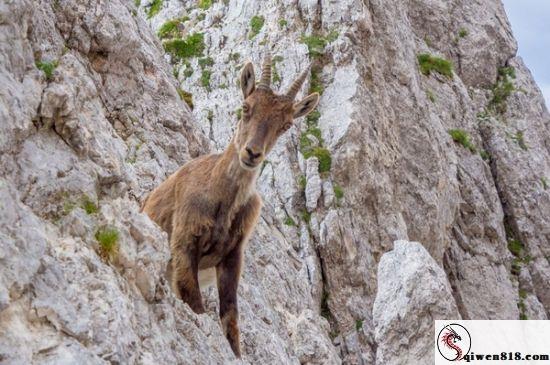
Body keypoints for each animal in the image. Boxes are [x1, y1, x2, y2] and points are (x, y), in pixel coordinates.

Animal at [141, 54, 320, 356]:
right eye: (246, 107)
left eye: (286, 125)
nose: (252, 153)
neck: (221, 198)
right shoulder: (184, 241)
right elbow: (195, 301)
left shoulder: (232, 255)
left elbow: (231, 318)